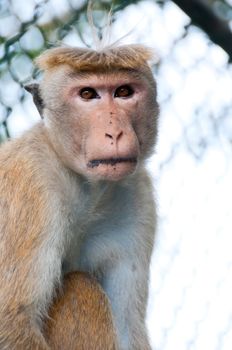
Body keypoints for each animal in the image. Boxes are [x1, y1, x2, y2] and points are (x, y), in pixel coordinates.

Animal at [0, 44, 158, 350]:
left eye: (123, 91)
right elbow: (11, 319)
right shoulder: (29, 183)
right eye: (87, 94)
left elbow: (128, 326)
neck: (86, 186)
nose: (115, 132)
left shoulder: (138, 196)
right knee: (80, 286)